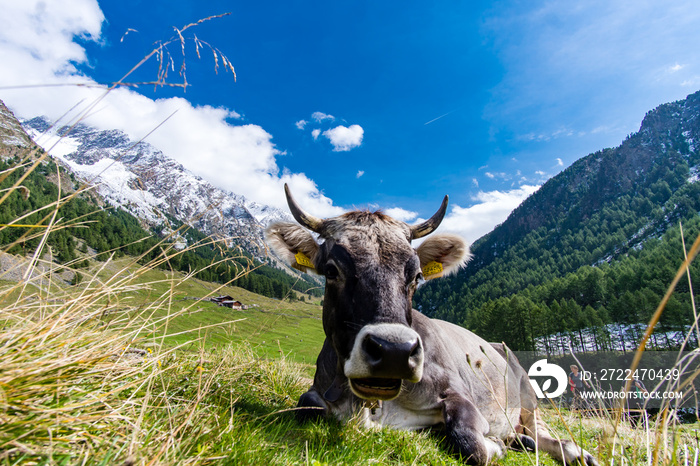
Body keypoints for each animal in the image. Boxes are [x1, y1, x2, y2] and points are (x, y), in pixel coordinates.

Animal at [266, 184, 600, 464]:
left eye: (416, 276)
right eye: (332, 270)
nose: (394, 352)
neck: (372, 406)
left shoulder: (459, 393)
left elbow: (471, 443)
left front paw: (495, 444)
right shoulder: (318, 391)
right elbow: (305, 405)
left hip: (527, 396)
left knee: (544, 433)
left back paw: (573, 453)